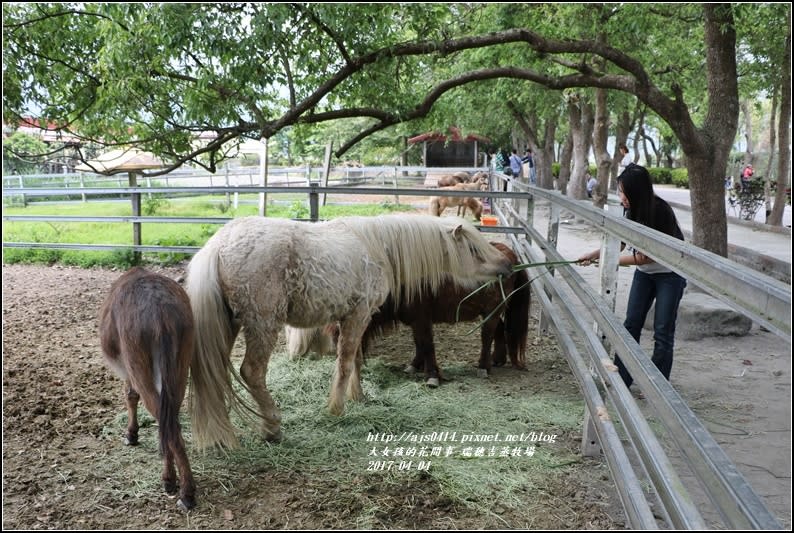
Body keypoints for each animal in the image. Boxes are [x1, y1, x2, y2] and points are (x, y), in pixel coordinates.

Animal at [98, 268, 196, 510]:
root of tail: (160, 311)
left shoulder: (127, 370)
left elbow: (130, 396)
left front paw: (131, 435)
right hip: (180, 364)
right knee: (171, 420)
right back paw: (177, 482)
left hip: (138, 362)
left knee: (162, 416)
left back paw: (183, 491)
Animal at [183, 212, 510, 448]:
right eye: (473, 248)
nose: (506, 266)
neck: (378, 247)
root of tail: (219, 245)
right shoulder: (358, 315)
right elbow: (346, 361)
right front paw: (337, 408)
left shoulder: (351, 318)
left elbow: (355, 361)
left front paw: (358, 397)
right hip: (262, 324)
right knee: (251, 372)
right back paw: (273, 427)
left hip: (230, 326)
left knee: (214, 374)